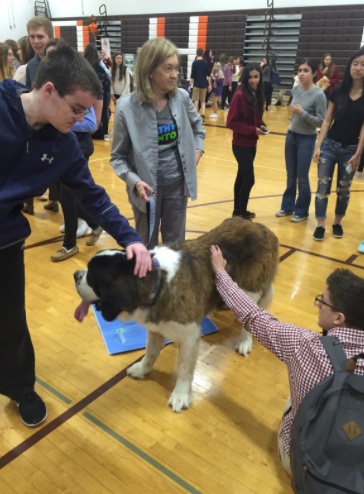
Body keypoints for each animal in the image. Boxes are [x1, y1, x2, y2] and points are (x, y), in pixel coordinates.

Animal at [74, 218, 278, 414]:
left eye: (92, 277)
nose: (76, 274)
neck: (157, 282)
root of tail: (262, 228)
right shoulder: (155, 328)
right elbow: (150, 352)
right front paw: (143, 369)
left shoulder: (189, 336)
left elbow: (184, 369)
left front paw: (181, 395)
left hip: (250, 289)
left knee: (250, 316)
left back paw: (244, 341)